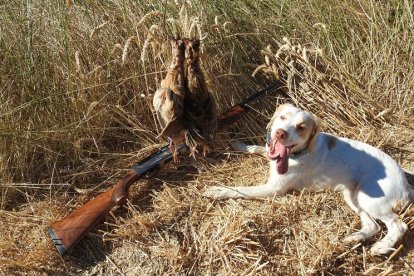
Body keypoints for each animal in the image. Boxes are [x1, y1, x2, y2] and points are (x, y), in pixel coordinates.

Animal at [205, 103, 412, 254]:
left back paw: (382, 247)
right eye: (282, 117)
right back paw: (355, 238)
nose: (280, 133)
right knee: (373, 226)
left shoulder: (273, 189)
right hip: (352, 195)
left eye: (301, 127)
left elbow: (239, 189)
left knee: (398, 225)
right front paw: (240, 145)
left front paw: (217, 190)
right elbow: (259, 148)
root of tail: (405, 183)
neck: (297, 154)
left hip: (370, 198)